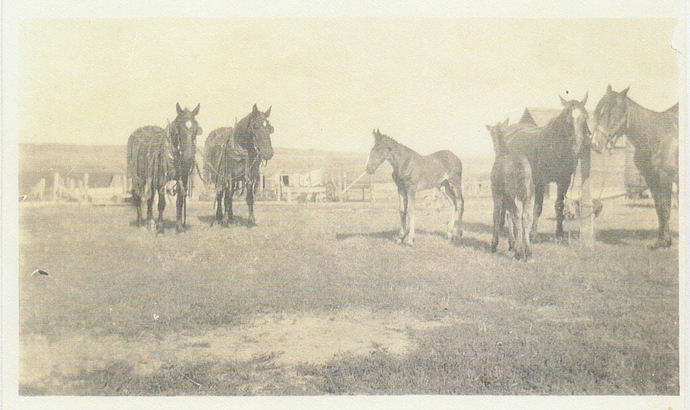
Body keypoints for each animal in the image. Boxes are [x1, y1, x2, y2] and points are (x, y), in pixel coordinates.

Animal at [126, 102, 202, 234]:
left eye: (195, 128)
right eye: (179, 128)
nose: (188, 157)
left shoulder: (183, 180)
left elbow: (179, 202)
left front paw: (179, 227)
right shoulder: (161, 180)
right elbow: (161, 203)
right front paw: (160, 229)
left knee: (150, 198)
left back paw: (150, 223)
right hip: (138, 177)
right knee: (137, 196)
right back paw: (140, 222)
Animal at [484, 118, 532, 260]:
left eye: (491, 133)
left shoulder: (497, 193)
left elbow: (497, 216)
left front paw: (494, 244)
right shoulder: (508, 196)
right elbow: (507, 216)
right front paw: (512, 243)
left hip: (510, 193)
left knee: (516, 214)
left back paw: (520, 252)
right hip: (527, 194)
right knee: (526, 216)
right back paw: (528, 251)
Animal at [502, 94, 588, 242]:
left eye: (585, 117)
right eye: (567, 119)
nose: (577, 147)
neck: (554, 148)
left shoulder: (564, 181)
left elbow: (559, 205)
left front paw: (559, 233)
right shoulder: (541, 182)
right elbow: (537, 207)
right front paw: (533, 235)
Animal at [584, 85, 676, 248]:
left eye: (612, 113)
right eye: (597, 112)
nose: (595, 144)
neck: (656, 137)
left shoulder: (665, 177)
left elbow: (665, 207)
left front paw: (666, 242)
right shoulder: (651, 179)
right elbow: (659, 207)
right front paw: (660, 241)